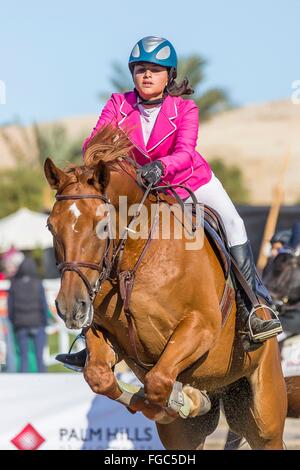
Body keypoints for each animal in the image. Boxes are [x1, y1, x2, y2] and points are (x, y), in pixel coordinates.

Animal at [44, 126, 286, 450]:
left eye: (103, 225)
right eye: (50, 226)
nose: (71, 307)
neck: (135, 259)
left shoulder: (200, 327)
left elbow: (157, 382)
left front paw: (186, 398)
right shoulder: (105, 333)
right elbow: (100, 377)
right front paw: (188, 397)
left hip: (265, 416)